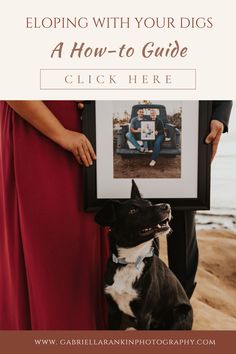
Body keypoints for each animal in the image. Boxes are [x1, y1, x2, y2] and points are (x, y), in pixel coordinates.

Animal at [94, 181, 194, 330]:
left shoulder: (144, 315)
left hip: (180, 313)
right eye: (133, 211)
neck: (130, 260)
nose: (167, 206)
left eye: (150, 203)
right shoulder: (112, 311)